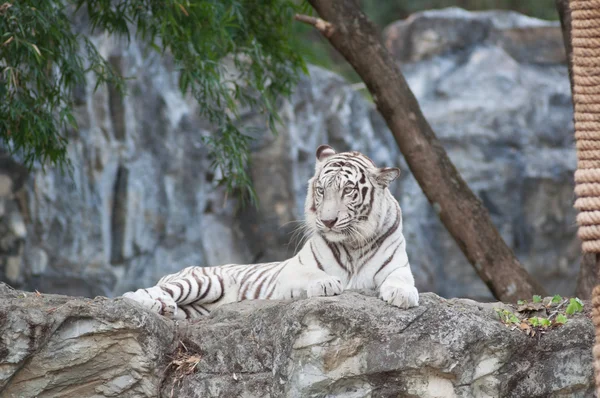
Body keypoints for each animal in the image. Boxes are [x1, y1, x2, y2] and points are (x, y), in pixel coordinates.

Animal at [123, 145, 418, 318]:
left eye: (348, 190)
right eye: (321, 190)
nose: (327, 221)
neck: (354, 243)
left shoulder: (399, 265)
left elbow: (401, 278)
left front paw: (403, 295)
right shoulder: (292, 271)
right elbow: (313, 274)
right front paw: (326, 283)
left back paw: (166, 308)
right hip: (204, 281)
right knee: (140, 292)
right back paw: (153, 302)